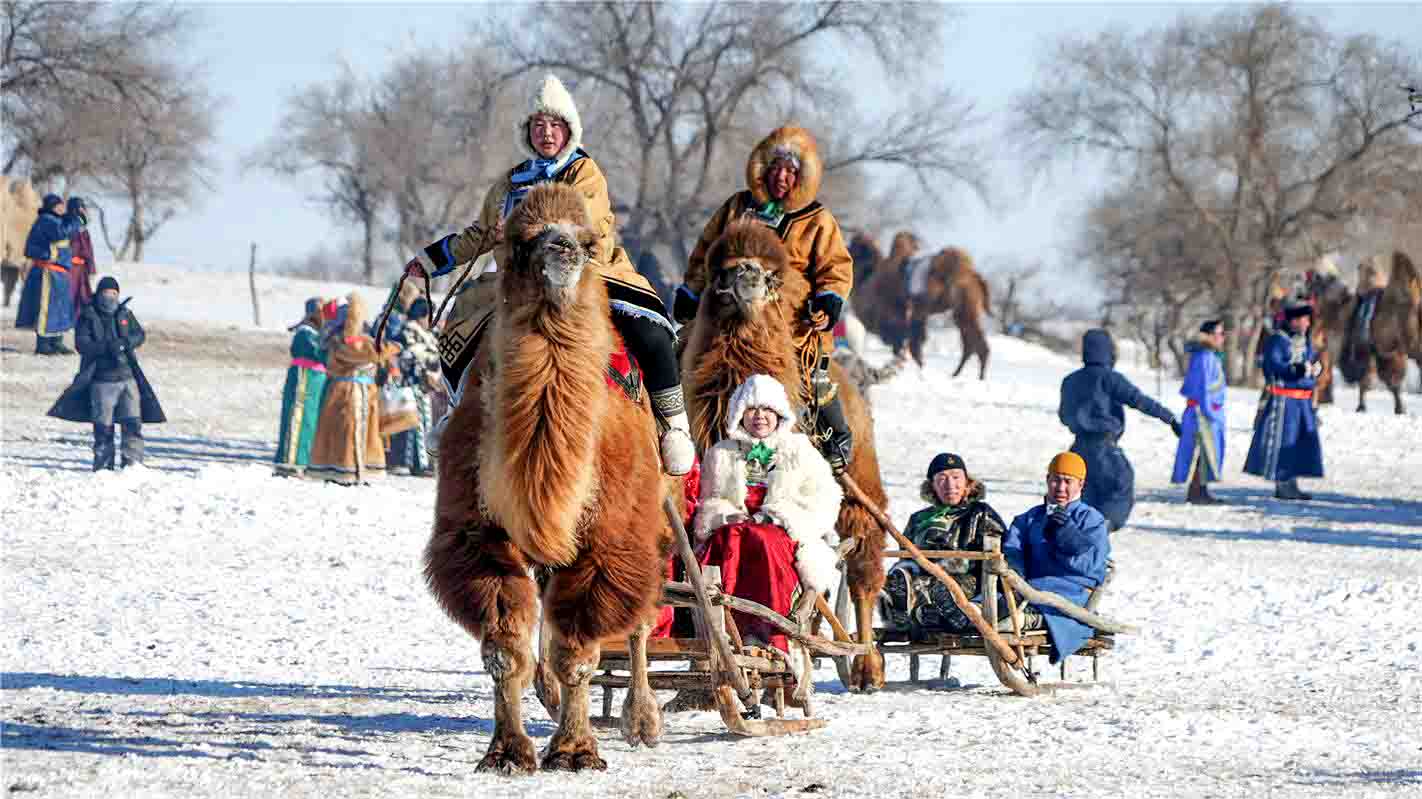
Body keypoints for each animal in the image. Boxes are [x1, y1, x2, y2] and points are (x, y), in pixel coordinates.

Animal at [420, 181, 671, 773]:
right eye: (520, 238)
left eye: (589, 238)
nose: (563, 250)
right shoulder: (479, 535)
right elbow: (503, 648)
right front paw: (507, 751)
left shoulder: (608, 541)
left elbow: (578, 649)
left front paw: (576, 750)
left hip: (652, 520)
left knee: (641, 621)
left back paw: (642, 720)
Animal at [676, 218, 887, 690]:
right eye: (723, 269)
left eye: (772, 275)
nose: (747, 276)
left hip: (859, 476)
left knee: (862, 560)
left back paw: (866, 666)